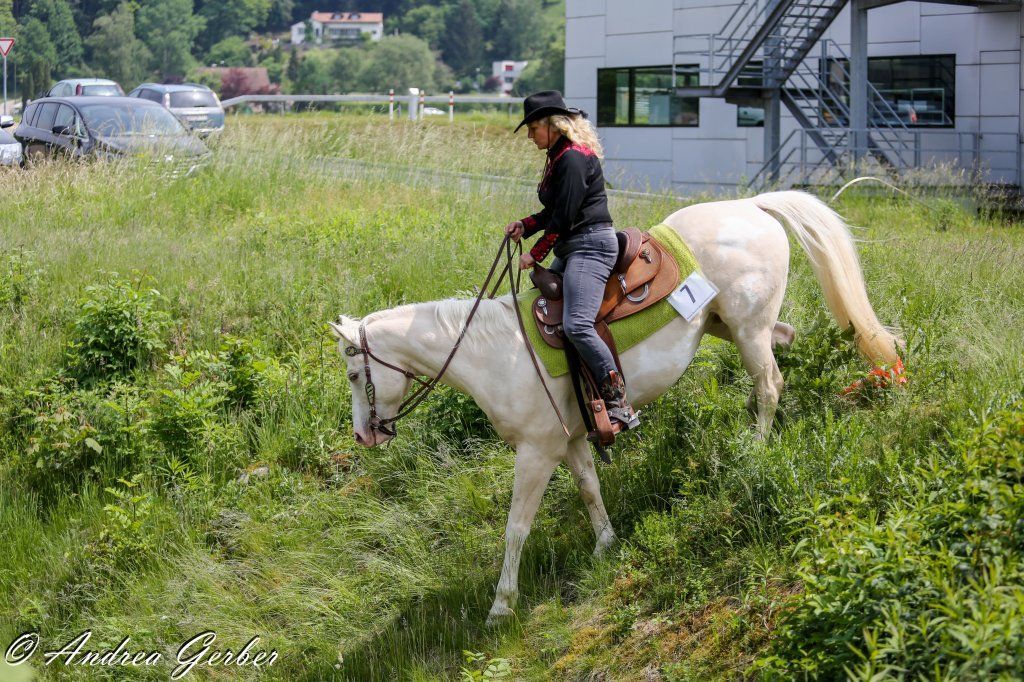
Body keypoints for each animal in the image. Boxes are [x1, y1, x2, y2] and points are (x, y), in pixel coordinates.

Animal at [329, 190, 901, 625]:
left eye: (355, 375)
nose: (363, 436)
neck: (495, 353)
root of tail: (751, 205)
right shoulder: (570, 438)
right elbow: (589, 487)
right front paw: (605, 542)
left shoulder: (536, 452)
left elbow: (516, 526)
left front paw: (501, 605)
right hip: (729, 325)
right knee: (788, 342)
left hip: (746, 329)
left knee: (769, 385)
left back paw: (757, 448)